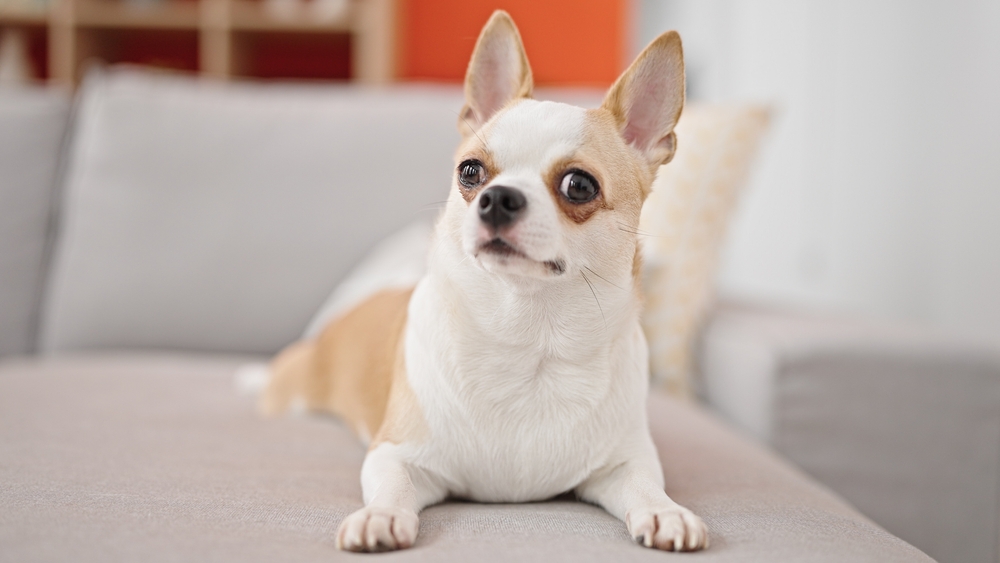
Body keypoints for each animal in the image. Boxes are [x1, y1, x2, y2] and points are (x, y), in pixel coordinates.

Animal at [262, 9, 708, 556]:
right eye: (470, 172)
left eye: (579, 185)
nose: (497, 197)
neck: (528, 340)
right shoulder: (394, 452)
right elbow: (391, 484)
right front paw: (380, 516)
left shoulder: (625, 461)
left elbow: (646, 484)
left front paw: (666, 511)